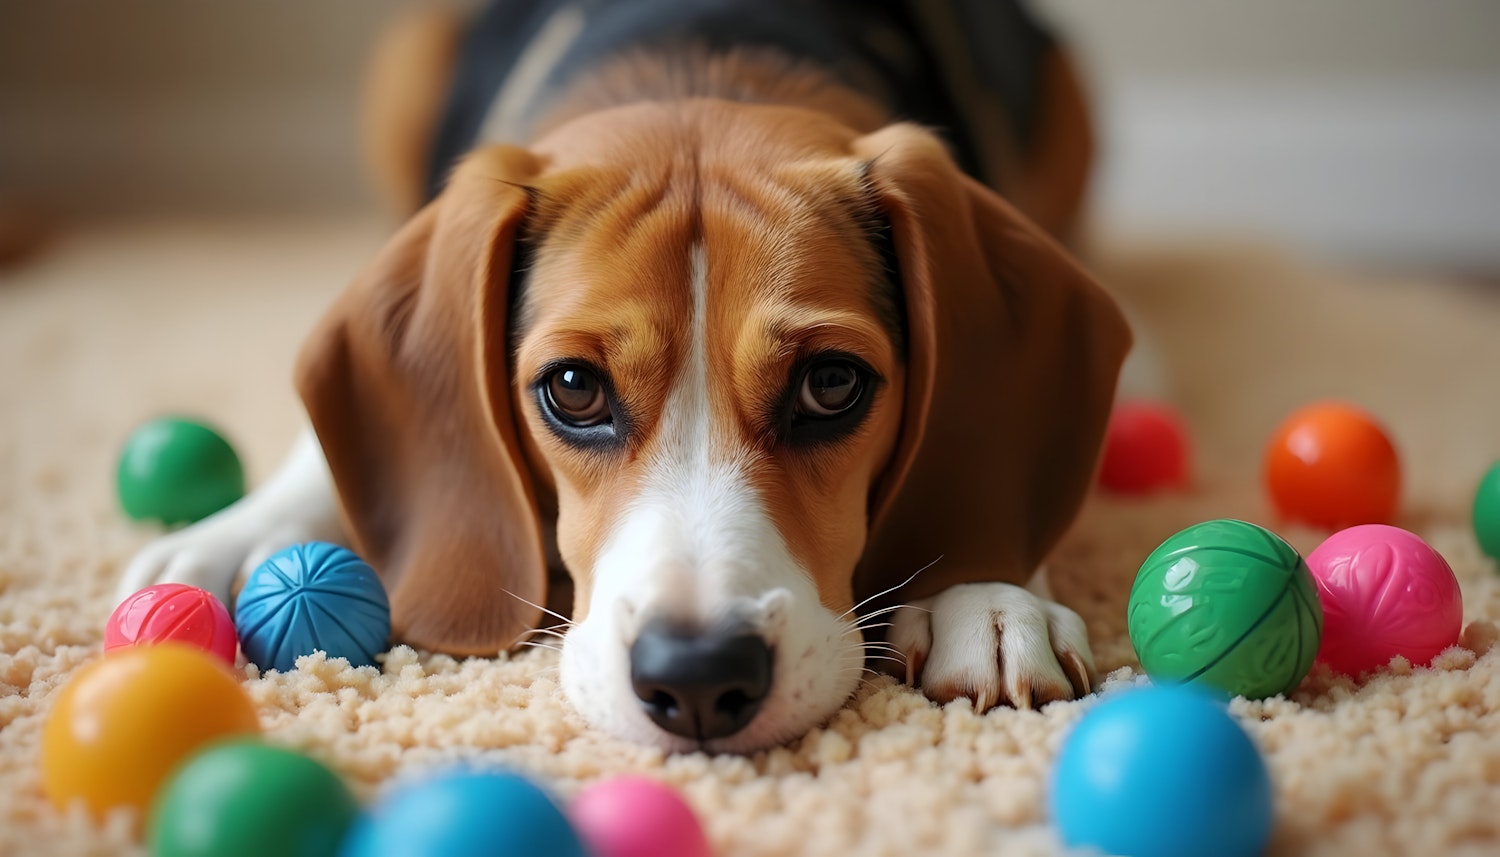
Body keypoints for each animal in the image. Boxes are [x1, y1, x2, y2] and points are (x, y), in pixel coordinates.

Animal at [117, 0, 1128, 750]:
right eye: (573, 388)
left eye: (832, 384)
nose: (700, 679)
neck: (697, 63)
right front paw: (247, 534)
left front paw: (985, 590)